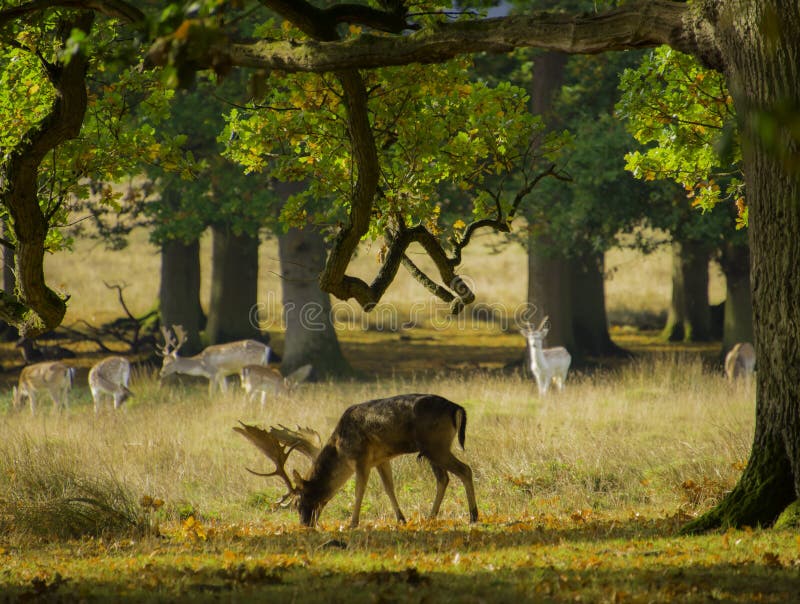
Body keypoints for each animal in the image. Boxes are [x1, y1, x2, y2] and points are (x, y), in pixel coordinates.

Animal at [234, 392, 478, 528]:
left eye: (297, 502)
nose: (305, 525)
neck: (340, 447)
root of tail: (457, 408)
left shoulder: (361, 458)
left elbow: (359, 490)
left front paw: (353, 523)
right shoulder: (381, 458)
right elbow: (389, 488)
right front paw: (401, 519)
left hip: (435, 445)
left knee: (464, 470)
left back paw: (473, 516)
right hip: (431, 449)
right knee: (444, 478)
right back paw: (431, 516)